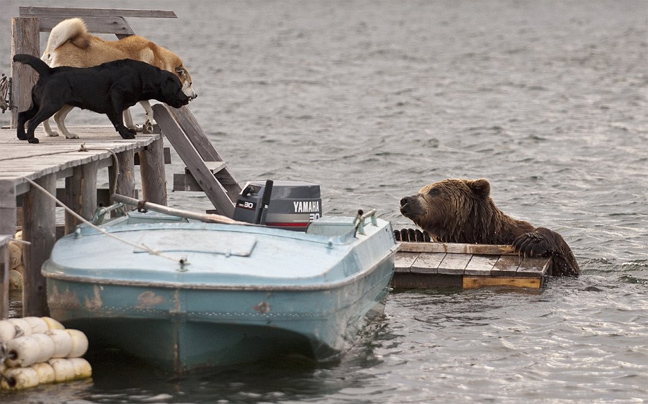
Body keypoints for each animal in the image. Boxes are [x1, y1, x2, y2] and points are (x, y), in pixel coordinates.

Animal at [13, 52, 190, 143]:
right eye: (179, 88)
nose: (187, 99)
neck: (142, 75)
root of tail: (49, 71)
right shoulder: (116, 97)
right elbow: (119, 118)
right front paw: (126, 134)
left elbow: (126, 117)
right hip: (50, 104)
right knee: (33, 121)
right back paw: (31, 138)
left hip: (50, 104)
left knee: (23, 115)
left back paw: (23, 136)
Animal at [40, 17, 196, 139]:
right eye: (189, 83)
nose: (195, 95)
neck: (158, 59)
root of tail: (54, 50)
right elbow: (149, 109)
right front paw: (148, 124)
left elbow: (127, 114)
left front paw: (132, 127)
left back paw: (49, 132)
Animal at [400, 178, 584, 276]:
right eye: (421, 189)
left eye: (434, 190)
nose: (406, 200)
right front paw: (408, 234)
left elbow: (568, 263)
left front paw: (530, 241)